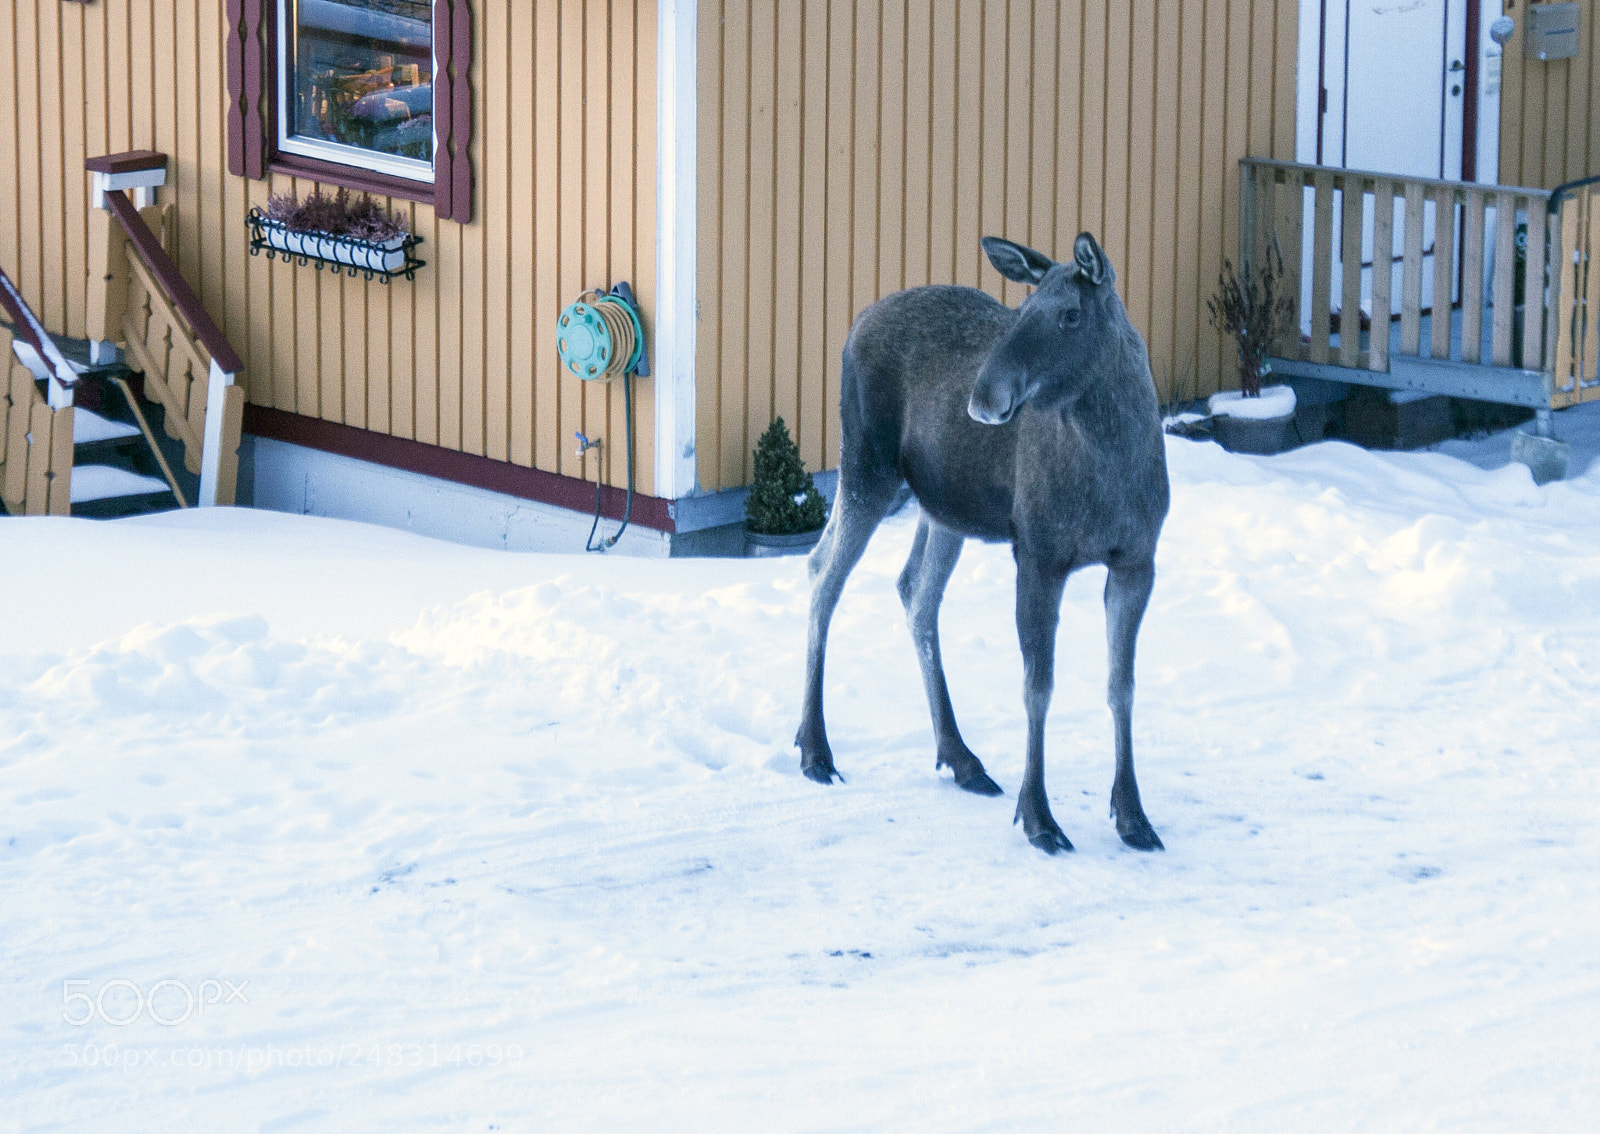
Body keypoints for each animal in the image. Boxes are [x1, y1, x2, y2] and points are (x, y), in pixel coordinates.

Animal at [795, 233, 1170, 854]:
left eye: (1071, 315)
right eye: (1023, 308)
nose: (984, 398)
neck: (1111, 465)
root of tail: (856, 323)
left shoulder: (1138, 561)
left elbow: (1123, 685)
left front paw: (1133, 815)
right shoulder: (1038, 554)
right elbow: (1037, 687)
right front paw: (1040, 817)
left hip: (942, 507)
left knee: (913, 591)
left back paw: (961, 757)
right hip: (867, 467)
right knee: (824, 578)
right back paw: (815, 748)